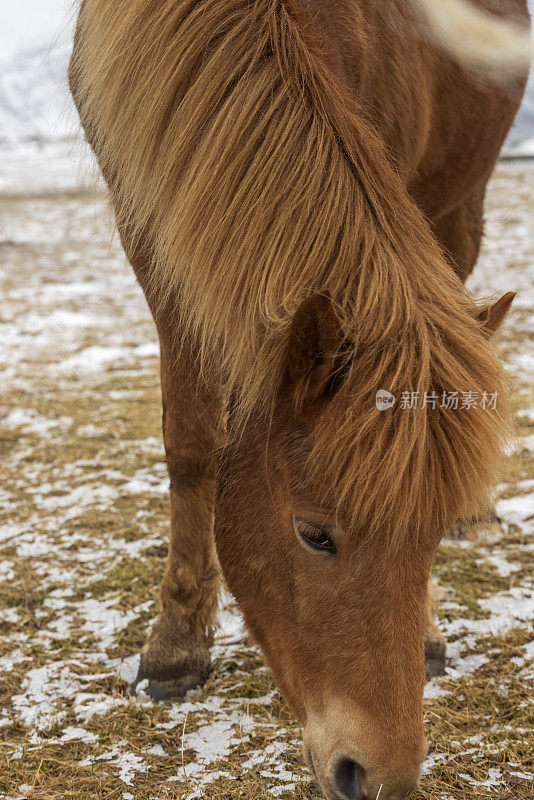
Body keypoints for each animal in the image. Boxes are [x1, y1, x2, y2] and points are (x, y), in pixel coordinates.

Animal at [68, 0, 532, 796]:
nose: (381, 779)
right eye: (315, 534)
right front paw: (175, 646)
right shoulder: (157, 225)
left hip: (457, 198)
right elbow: (192, 447)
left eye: (429, 537)